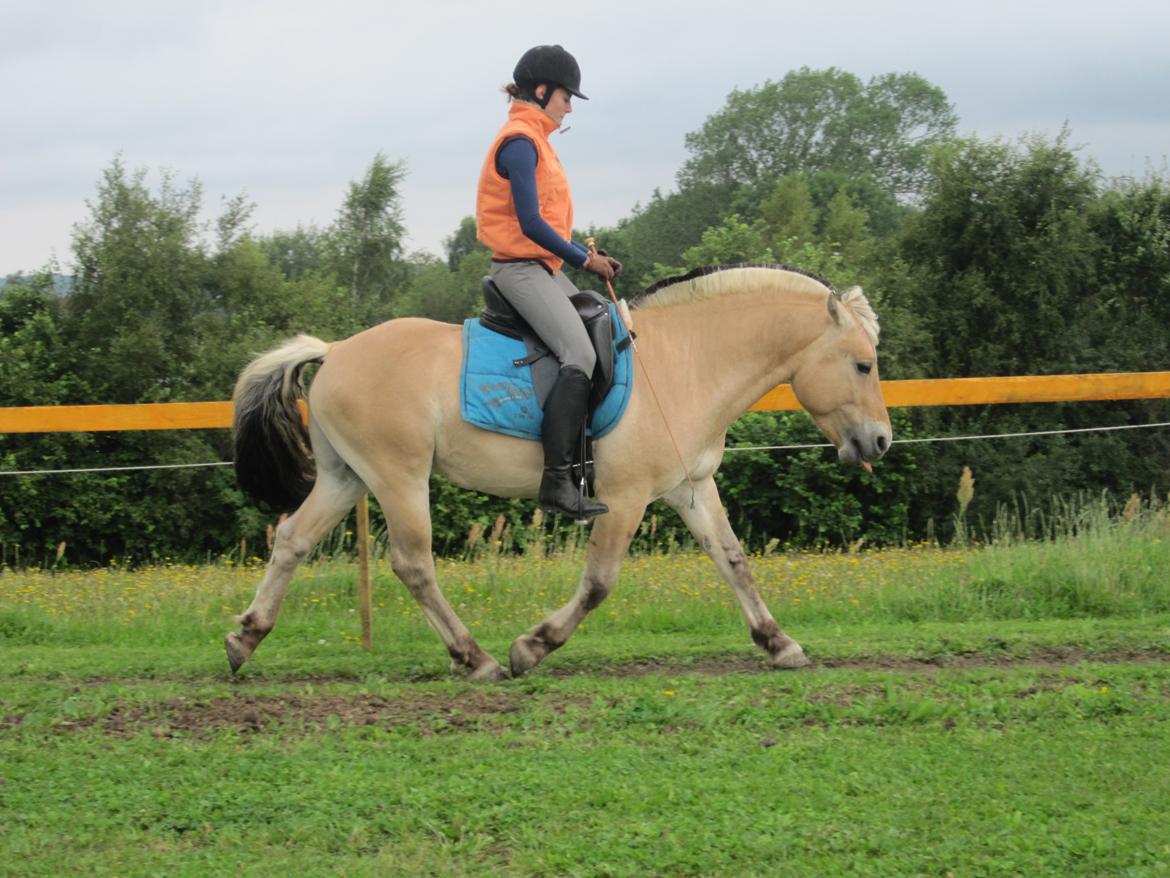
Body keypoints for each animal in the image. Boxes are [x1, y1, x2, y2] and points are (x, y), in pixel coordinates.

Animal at [225, 264, 884, 683]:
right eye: (862, 364)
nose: (880, 440)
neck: (683, 363)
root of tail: (335, 350)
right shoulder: (624, 499)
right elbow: (598, 583)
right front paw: (531, 648)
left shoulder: (690, 489)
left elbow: (734, 561)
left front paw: (779, 644)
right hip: (399, 478)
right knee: (413, 565)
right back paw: (476, 659)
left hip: (347, 477)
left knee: (293, 540)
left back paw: (245, 637)